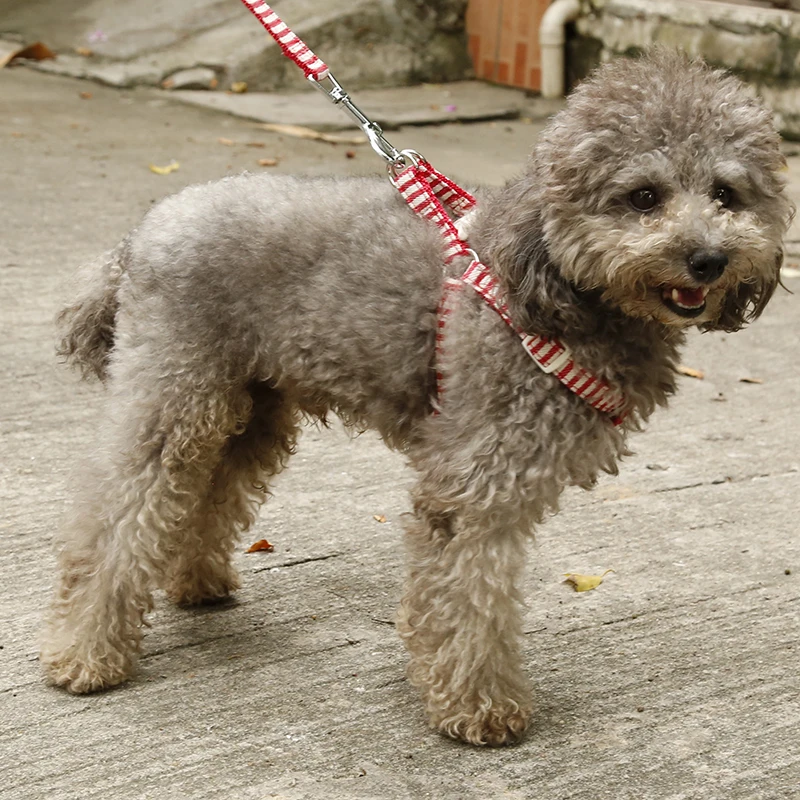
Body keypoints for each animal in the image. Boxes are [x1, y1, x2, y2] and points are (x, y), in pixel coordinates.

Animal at [43, 53, 792, 748]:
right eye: (642, 196)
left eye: (726, 193)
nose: (709, 260)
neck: (552, 287)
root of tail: (143, 233)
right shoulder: (474, 486)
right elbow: (471, 599)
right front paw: (480, 711)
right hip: (173, 391)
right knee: (115, 514)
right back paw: (85, 656)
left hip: (248, 406)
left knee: (206, 492)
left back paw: (194, 583)